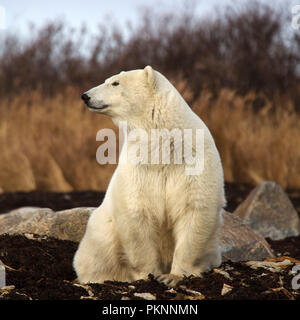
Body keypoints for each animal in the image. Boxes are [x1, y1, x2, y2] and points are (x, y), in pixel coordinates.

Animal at [74, 65, 225, 284]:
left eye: (115, 82)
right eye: (109, 80)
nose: (85, 96)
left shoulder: (194, 161)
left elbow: (194, 209)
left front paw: (173, 276)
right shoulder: (138, 168)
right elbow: (137, 212)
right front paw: (149, 274)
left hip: (213, 246)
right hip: (101, 231)